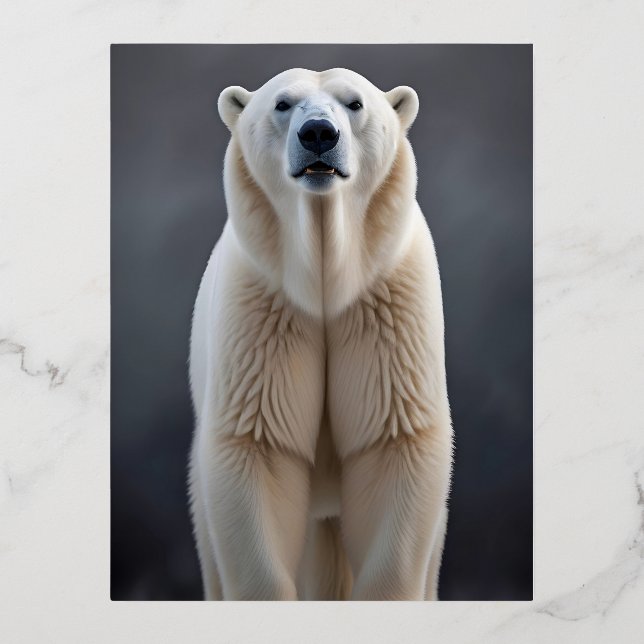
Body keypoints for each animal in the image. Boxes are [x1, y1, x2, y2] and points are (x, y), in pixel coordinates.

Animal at [188, 68, 453, 601]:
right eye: (282, 103)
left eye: (355, 103)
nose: (318, 135)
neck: (326, 275)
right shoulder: (265, 308)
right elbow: (260, 445)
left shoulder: (386, 301)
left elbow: (392, 441)